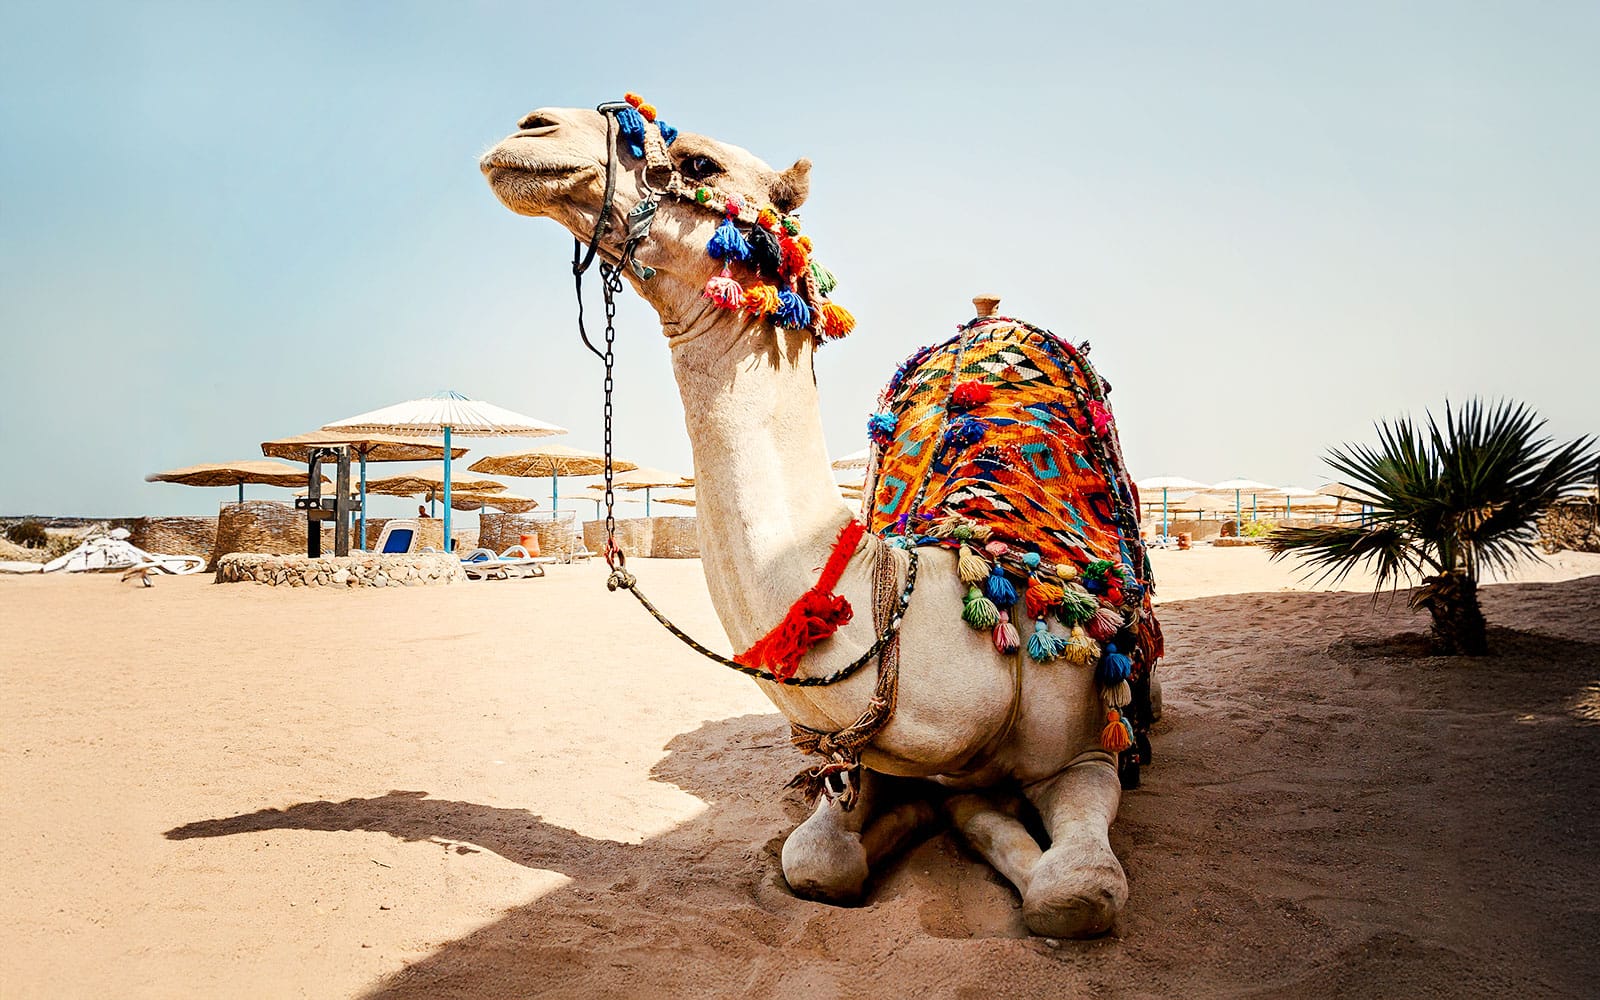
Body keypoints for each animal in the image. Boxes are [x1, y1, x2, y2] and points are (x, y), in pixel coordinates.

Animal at [480, 98, 1160, 937]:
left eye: (699, 162)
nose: (532, 129)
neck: (948, 604)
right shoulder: (868, 758)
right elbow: (818, 862)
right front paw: (948, 813)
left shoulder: (1086, 754)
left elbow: (1074, 893)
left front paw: (1003, 832)